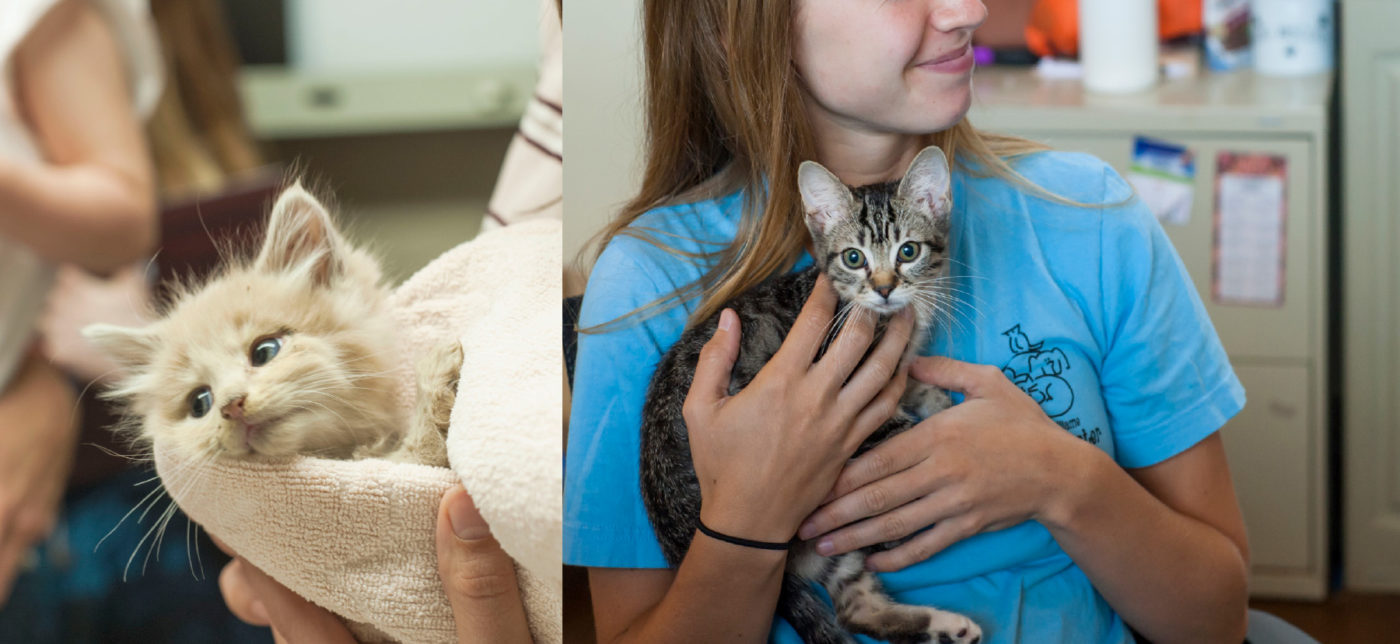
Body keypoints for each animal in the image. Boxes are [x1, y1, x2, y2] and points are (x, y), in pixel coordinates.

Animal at [641, 147, 980, 644]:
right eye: (854, 258)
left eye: (909, 251)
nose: (884, 288)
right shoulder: (856, 394)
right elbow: (900, 430)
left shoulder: (896, 369)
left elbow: (921, 388)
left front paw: (942, 409)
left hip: (836, 554)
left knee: (855, 609)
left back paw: (947, 626)